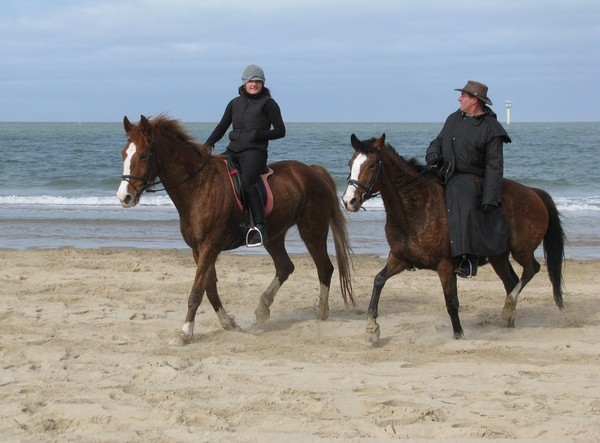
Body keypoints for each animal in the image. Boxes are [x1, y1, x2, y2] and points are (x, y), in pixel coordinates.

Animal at [116, 115, 356, 344]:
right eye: (124, 154)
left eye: (144, 155)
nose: (124, 197)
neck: (199, 186)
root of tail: (313, 171)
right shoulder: (198, 250)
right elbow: (209, 288)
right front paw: (228, 323)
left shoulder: (210, 247)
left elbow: (197, 291)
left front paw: (185, 333)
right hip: (273, 236)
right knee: (285, 267)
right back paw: (263, 308)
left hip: (312, 231)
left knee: (324, 268)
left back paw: (321, 313)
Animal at [340, 134, 564, 342]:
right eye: (350, 163)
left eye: (372, 164)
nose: (349, 201)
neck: (419, 207)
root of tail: (533, 192)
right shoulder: (399, 259)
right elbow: (378, 281)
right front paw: (371, 328)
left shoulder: (445, 265)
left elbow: (451, 301)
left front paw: (459, 334)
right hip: (498, 257)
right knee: (512, 281)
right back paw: (509, 315)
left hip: (521, 251)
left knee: (532, 269)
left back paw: (509, 309)